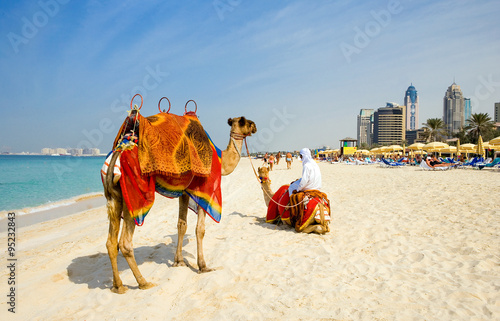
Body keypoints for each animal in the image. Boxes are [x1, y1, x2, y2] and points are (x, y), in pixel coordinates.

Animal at [103, 115, 256, 292]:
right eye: (247, 122)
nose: (255, 127)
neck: (221, 160)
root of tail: (117, 153)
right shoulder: (202, 190)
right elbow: (200, 229)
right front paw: (203, 266)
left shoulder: (184, 191)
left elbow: (181, 225)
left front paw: (179, 261)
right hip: (133, 194)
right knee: (125, 242)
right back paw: (143, 282)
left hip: (115, 196)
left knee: (111, 242)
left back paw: (118, 286)